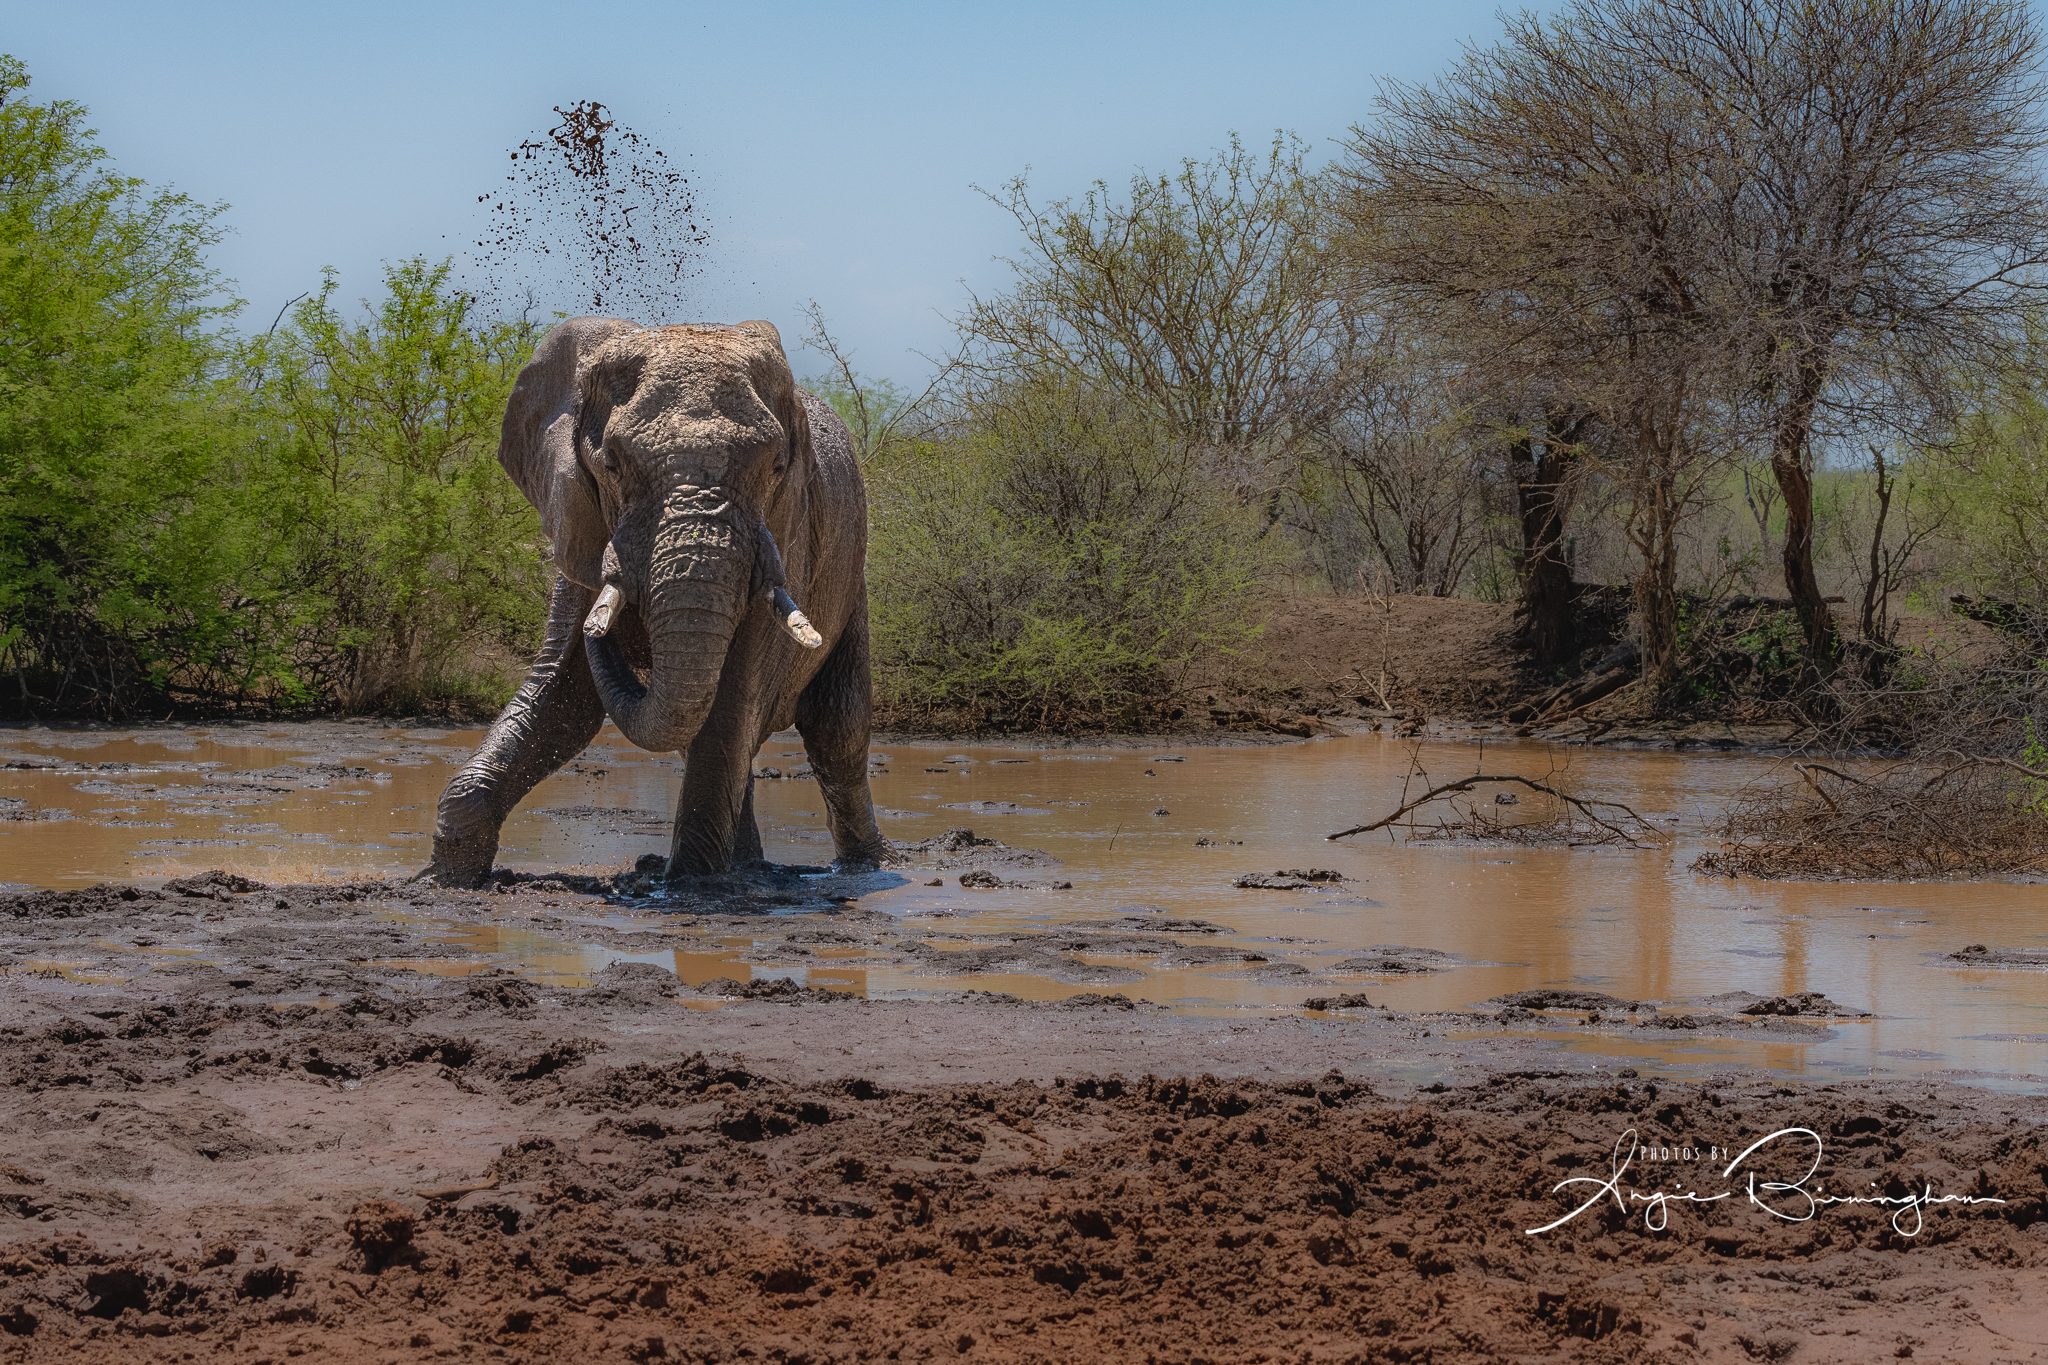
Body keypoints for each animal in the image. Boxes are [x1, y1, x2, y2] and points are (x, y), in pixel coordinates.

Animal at [428, 317, 884, 888]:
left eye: (777, 468)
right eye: (612, 464)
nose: (601, 632)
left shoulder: (785, 533)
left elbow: (732, 699)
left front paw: (689, 885)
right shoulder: (579, 521)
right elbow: (563, 698)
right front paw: (447, 876)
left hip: (852, 577)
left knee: (835, 729)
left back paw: (862, 870)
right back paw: (749, 867)